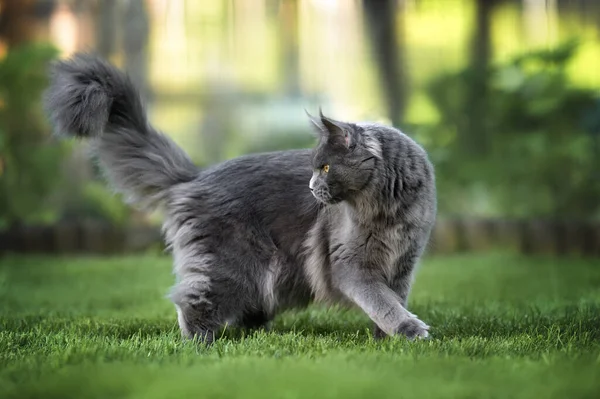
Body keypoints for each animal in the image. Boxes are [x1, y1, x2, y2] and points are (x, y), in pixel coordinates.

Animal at [42, 54, 436, 346]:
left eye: (324, 167)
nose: (310, 187)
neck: (387, 211)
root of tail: (194, 177)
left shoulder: (404, 263)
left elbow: (390, 300)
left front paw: (385, 341)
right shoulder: (349, 264)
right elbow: (381, 301)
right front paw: (410, 332)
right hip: (232, 263)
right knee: (192, 300)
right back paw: (199, 344)